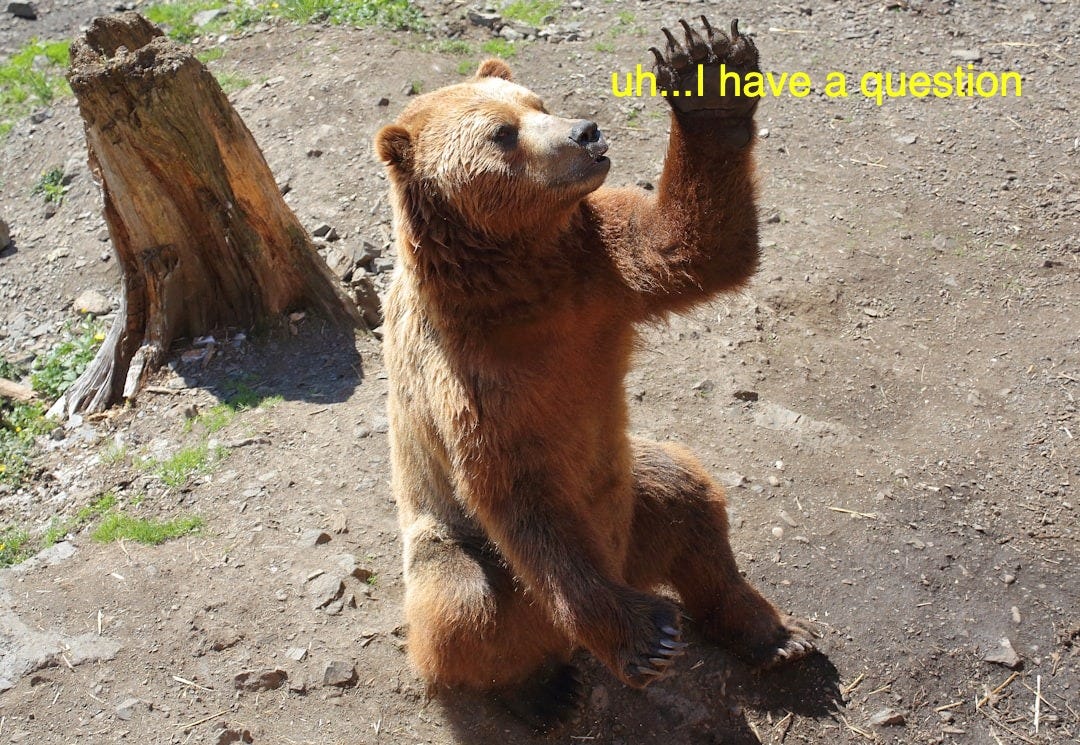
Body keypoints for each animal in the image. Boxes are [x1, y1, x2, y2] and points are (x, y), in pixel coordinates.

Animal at [375, 16, 815, 732]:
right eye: (502, 133)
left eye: (538, 103)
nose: (586, 132)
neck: (520, 284)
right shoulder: (467, 377)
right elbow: (521, 492)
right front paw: (644, 637)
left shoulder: (598, 271)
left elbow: (694, 246)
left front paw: (706, 73)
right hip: (460, 546)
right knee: (464, 604)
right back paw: (539, 691)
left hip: (630, 499)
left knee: (690, 500)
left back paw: (774, 635)